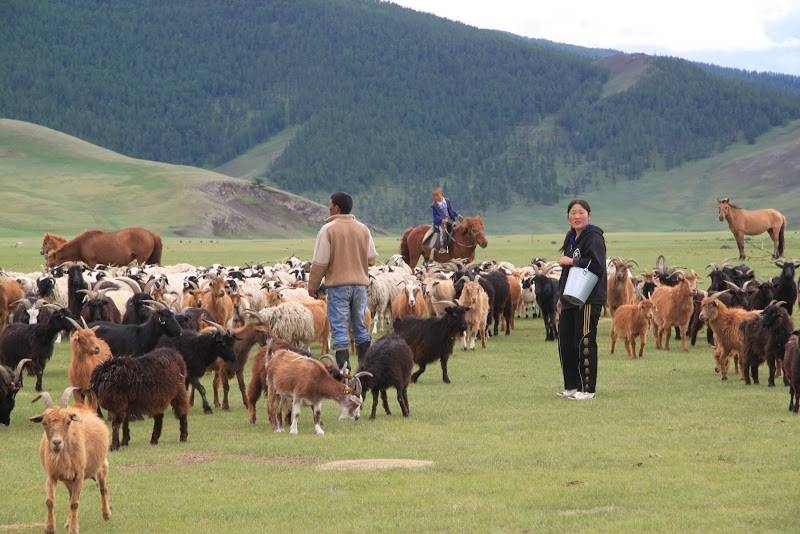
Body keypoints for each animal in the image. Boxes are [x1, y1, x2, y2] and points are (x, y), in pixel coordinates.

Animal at [29, 390, 110, 534]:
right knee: (70, 495)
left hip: (101, 465)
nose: (56, 443)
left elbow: (74, 503)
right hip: (67, 479)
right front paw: (49, 528)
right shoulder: (52, 475)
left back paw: (106, 514)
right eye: (44, 423)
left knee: (102, 487)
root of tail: (88, 408)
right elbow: (50, 501)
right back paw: (68, 522)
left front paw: (73, 529)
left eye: (68, 422)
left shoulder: (79, 475)